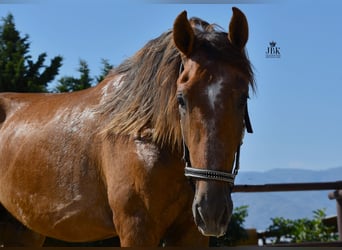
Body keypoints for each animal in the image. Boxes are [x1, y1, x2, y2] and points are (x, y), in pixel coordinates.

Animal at [0, 7, 254, 246]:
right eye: (181, 99)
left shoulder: (190, 232)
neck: (145, 137)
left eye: (243, 98)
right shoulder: (136, 228)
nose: (212, 210)